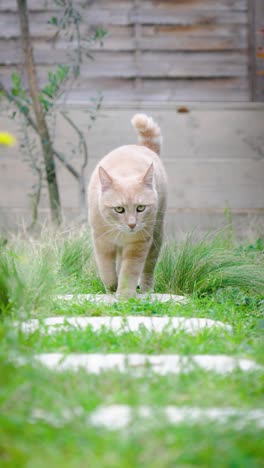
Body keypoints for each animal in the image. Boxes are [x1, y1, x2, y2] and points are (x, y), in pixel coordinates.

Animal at [87, 113, 168, 296]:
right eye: (119, 209)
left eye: (141, 208)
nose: (132, 224)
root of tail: (141, 147)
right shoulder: (102, 242)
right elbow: (107, 270)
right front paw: (111, 288)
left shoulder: (138, 245)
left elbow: (129, 271)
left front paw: (124, 295)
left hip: (156, 236)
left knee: (148, 268)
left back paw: (146, 290)